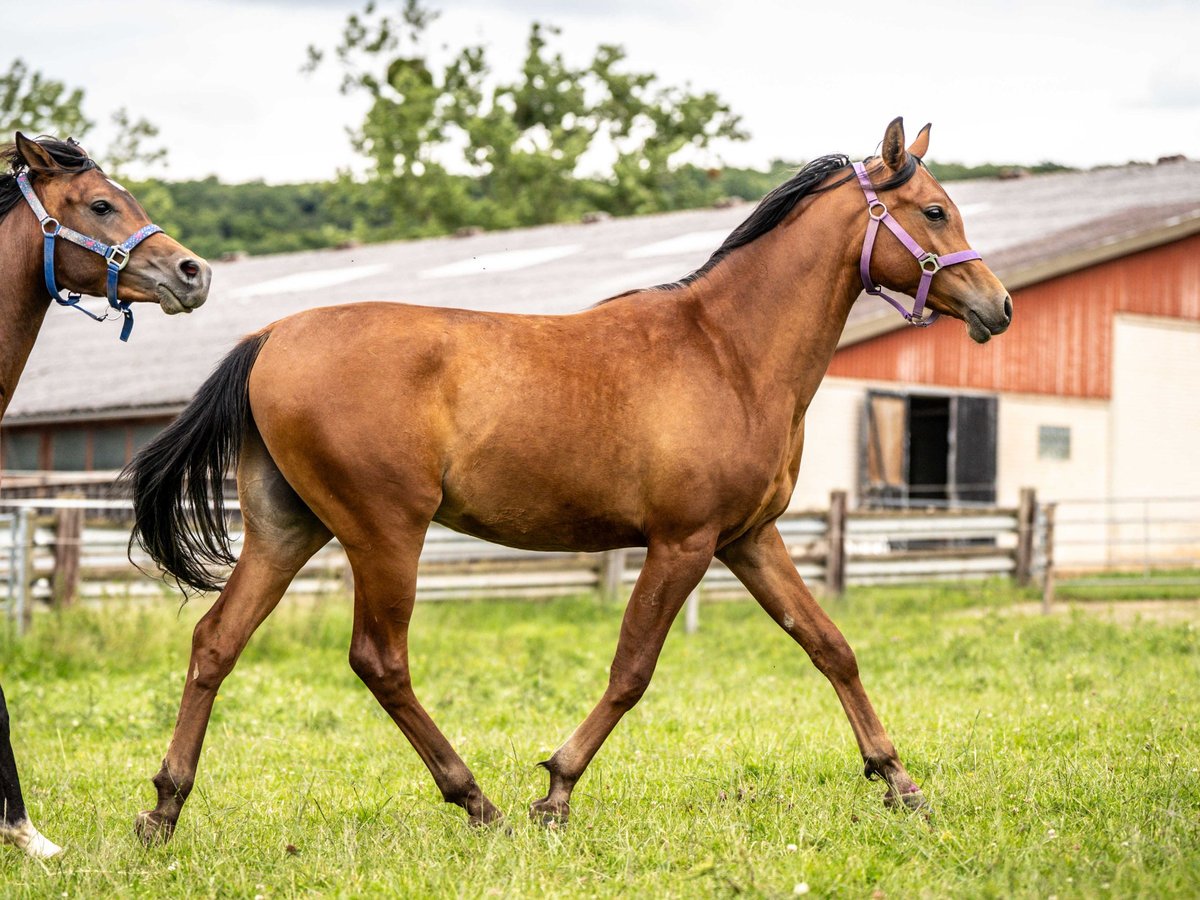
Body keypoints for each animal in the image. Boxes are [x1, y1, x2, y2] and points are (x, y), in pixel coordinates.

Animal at [129, 120, 1012, 844]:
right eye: (935, 212)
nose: (997, 307)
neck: (727, 350)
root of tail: (270, 336)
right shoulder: (682, 544)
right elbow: (632, 670)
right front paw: (555, 791)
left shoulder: (749, 540)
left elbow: (831, 647)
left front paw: (899, 780)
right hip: (385, 534)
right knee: (379, 660)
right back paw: (475, 801)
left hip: (288, 531)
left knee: (216, 643)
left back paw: (165, 808)